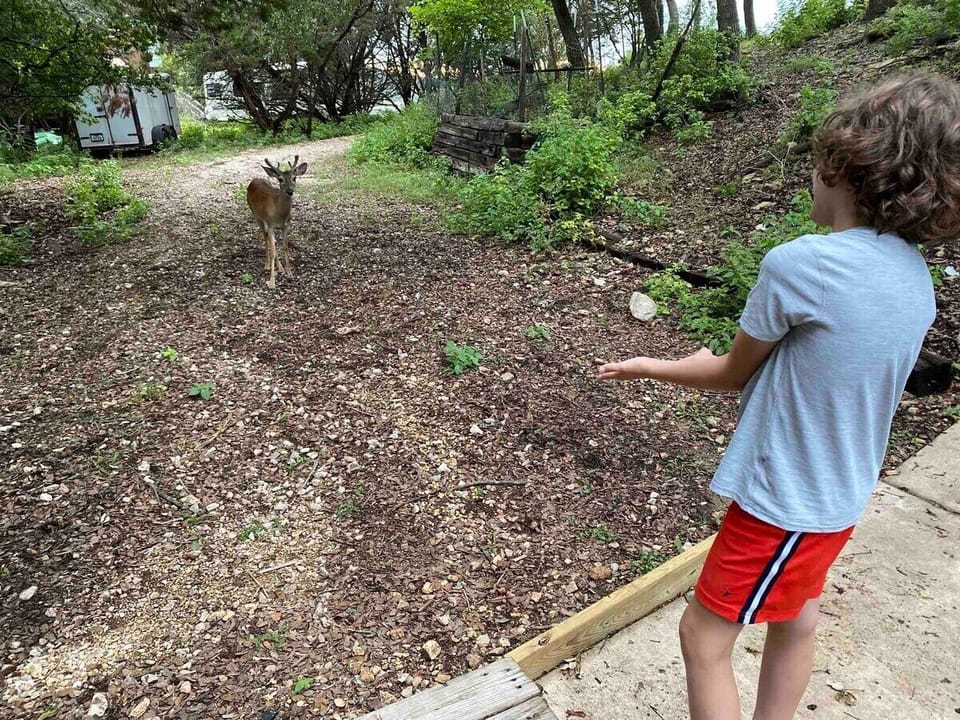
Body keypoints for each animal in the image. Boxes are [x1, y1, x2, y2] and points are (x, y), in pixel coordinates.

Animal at [246, 156, 308, 289]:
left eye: (294, 178)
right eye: (280, 179)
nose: (290, 191)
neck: (280, 215)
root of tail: (254, 180)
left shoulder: (286, 225)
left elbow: (285, 247)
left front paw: (289, 273)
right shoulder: (270, 224)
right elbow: (274, 250)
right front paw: (272, 281)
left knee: (271, 241)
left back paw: (280, 268)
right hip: (256, 216)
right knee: (265, 237)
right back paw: (267, 264)